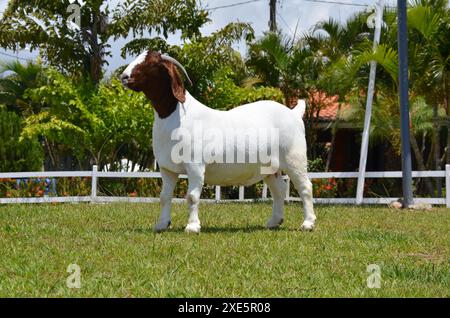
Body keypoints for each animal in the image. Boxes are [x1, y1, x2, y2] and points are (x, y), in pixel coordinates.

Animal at [121, 51, 314, 232]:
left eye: (150, 63)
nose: (124, 77)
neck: (177, 114)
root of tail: (294, 113)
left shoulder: (195, 166)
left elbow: (192, 196)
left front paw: (192, 227)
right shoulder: (167, 169)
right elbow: (164, 197)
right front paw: (162, 224)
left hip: (294, 158)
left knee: (305, 187)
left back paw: (308, 223)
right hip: (269, 168)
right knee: (279, 190)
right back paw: (274, 221)